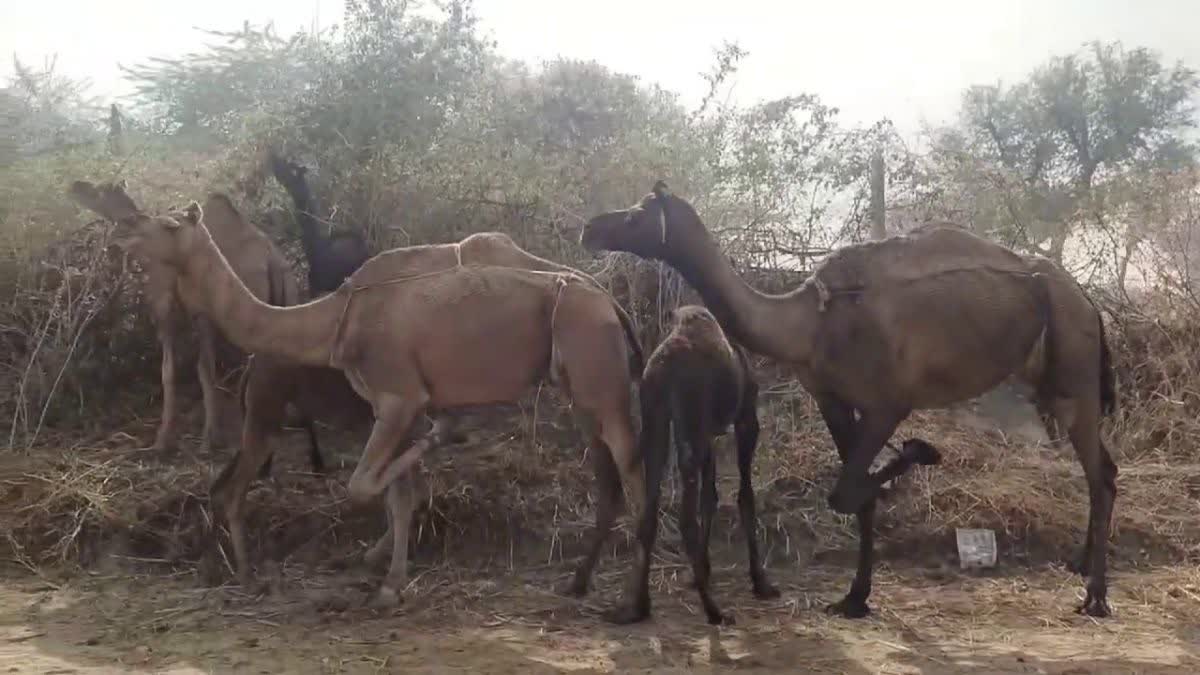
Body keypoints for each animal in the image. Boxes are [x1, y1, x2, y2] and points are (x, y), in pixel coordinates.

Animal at [66, 181, 324, 470]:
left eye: (99, 193)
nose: (75, 187)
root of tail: (272, 261)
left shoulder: (173, 312)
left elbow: (175, 370)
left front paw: (170, 440)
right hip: (287, 298)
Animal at [214, 228, 648, 590]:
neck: (336, 318)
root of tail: (610, 303)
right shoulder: (396, 405)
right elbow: (395, 491)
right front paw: (383, 565)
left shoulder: (398, 397)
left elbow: (371, 486)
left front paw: (390, 582)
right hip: (582, 392)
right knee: (610, 477)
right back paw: (579, 582)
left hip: (599, 378)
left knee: (631, 464)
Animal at [585, 181, 1118, 619]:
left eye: (636, 214)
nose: (591, 227)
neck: (808, 322)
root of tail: (1089, 302)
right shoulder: (834, 399)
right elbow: (854, 493)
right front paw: (855, 597)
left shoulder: (888, 401)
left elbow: (847, 491)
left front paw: (920, 451)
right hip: (1053, 383)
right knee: (1103, 467)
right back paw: (1080, 567)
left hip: (1076, 371)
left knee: (1100, 473)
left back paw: (1095, 596)